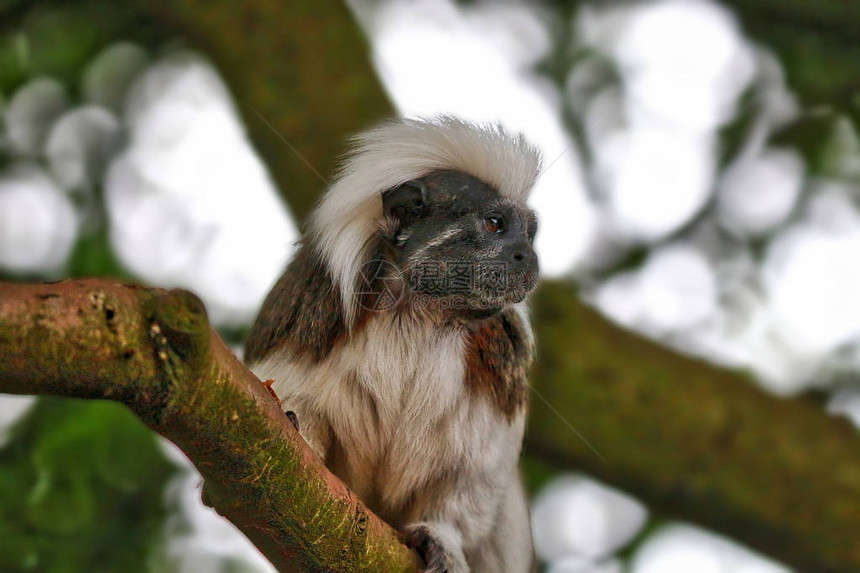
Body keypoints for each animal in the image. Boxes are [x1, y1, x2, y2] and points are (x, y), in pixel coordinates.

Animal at [244, 116, 536, 572]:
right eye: (494, 224)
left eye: (531, 234)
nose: (528, 256)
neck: (420, 316)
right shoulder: (309, 315)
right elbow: (290, 394)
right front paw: (293, 424)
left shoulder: (500, 369)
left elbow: (474, 474)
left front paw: (442, 537)